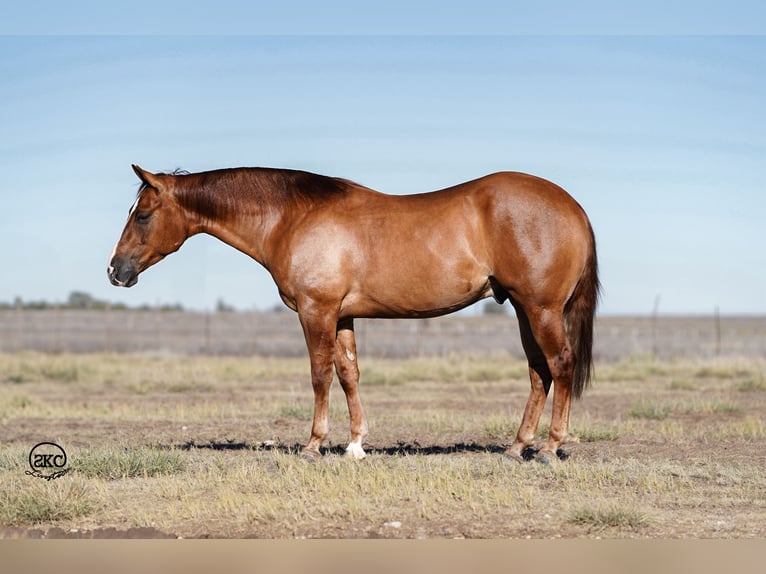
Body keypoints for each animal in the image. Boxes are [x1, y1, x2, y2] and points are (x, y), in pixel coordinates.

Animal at [109, 164, 600, 466]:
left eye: (144, 214)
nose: (115, 271)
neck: (292, 217)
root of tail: (573, 207)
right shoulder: (342, 317)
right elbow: (349, 374)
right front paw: (355, 445)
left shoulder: (316, 311)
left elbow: (320, 374)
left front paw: (313, 446)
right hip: (522, 308)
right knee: (538, 372)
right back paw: (517, 448)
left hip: (540, 309)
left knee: (560, 364)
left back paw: (550, 448)